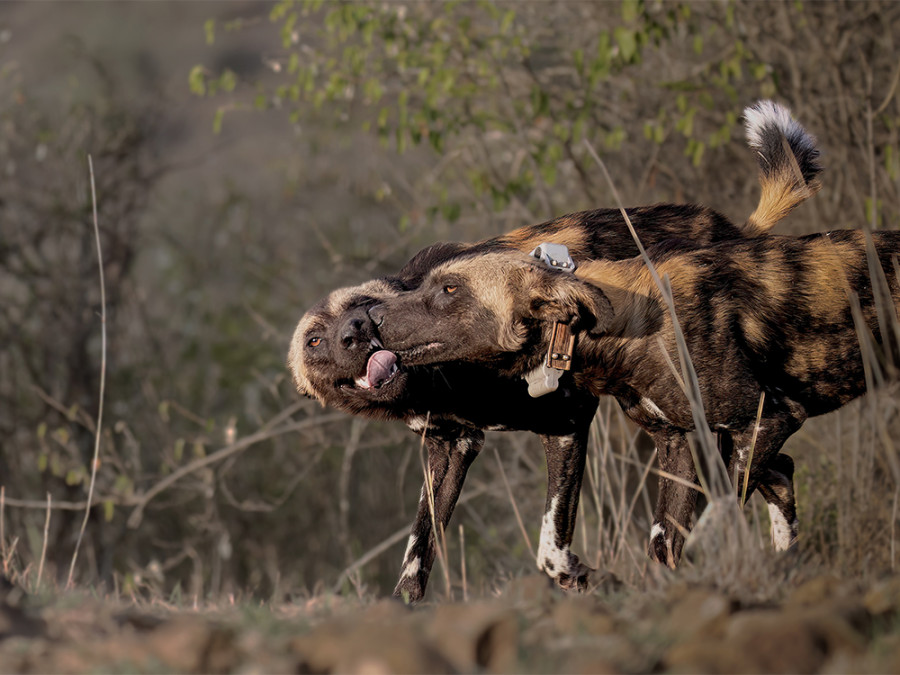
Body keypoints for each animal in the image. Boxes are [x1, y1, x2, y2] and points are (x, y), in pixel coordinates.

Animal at [290, 101, 824, 604]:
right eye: (315, 341)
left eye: (363, 305)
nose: (356, 331)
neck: (442, 379)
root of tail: (734, 230)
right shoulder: (451, 447)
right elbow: (417, 555)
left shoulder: (566, 423)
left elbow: (550, 544)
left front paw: (582, 577)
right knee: (775, 471)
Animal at [370, 230, 900, 568]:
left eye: (449, 289)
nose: (371, 316)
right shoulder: (680, 446)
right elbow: (665, 545)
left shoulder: (768, 420)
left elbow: (709, 530)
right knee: (784, 478)